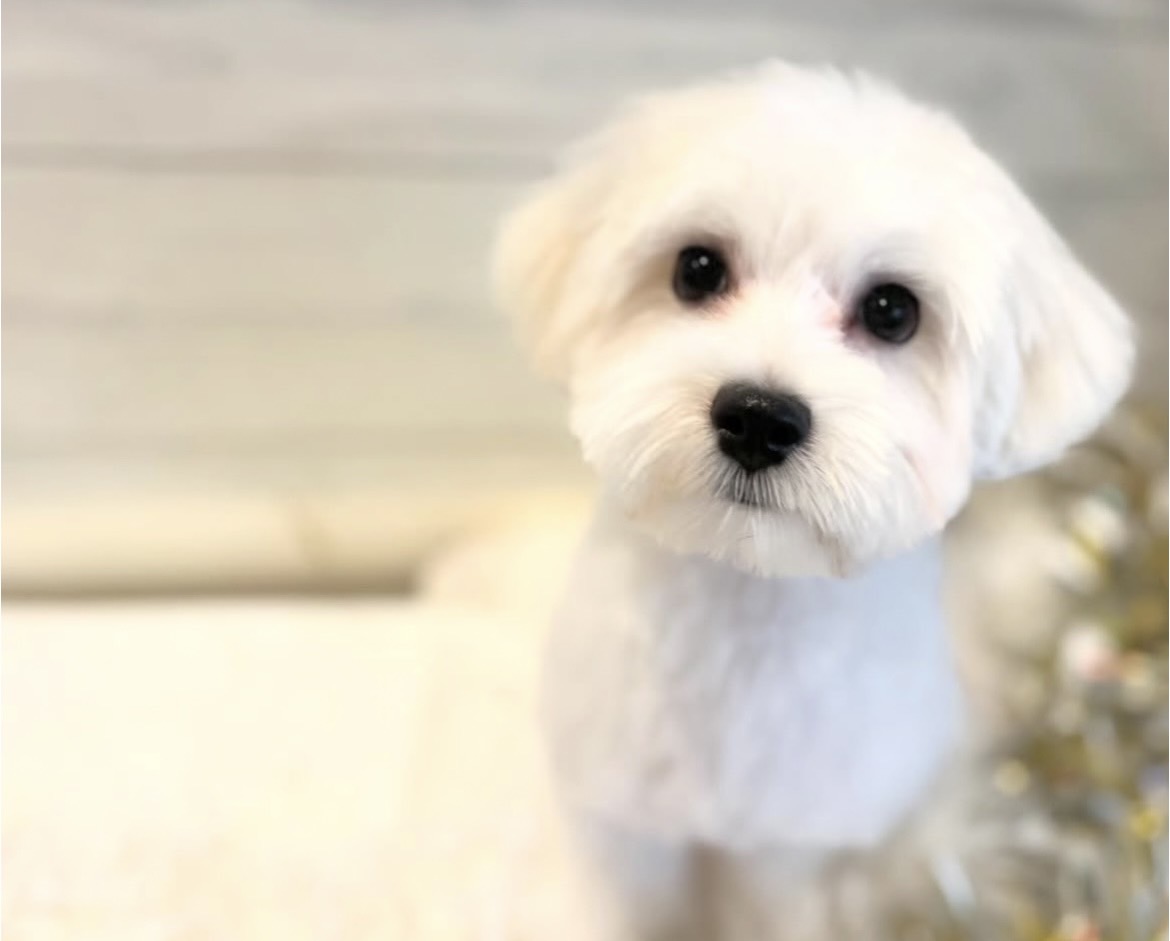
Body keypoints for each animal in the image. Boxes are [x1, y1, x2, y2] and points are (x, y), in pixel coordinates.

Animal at [492, 62, 1133, 939]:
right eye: (697, 268)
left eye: (893, 310)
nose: (759, 417)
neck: (742, 602)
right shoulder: (627, 816)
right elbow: (625, 902)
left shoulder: (790, 840)